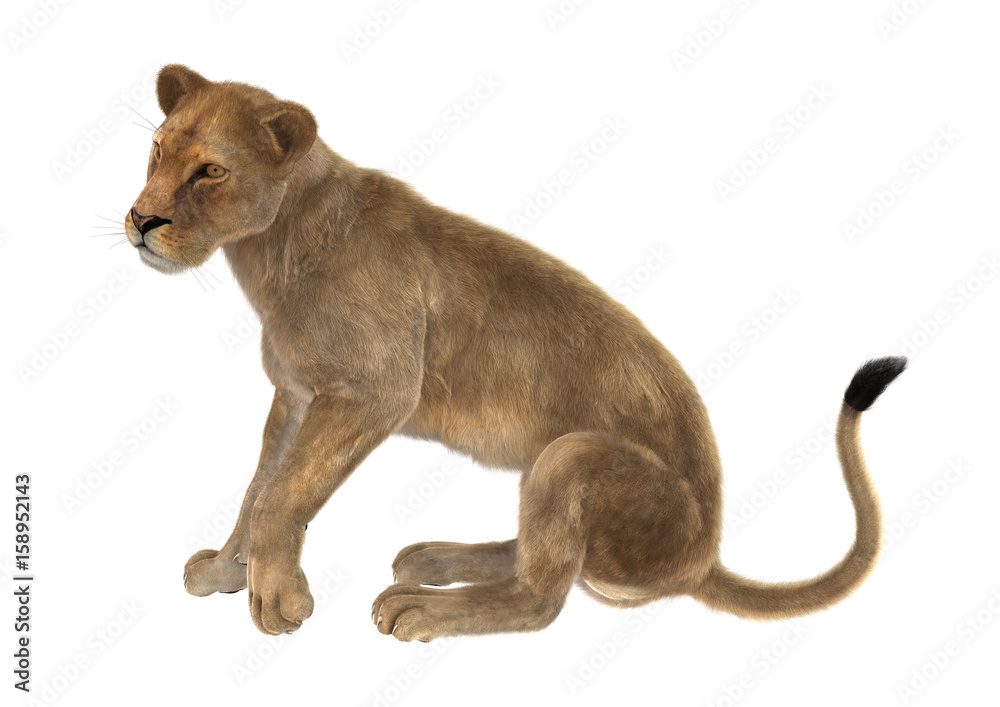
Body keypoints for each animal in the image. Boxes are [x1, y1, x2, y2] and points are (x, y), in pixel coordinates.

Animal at [124, 64, 905, 639]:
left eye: (210, 172)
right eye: (157, 151)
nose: (141, 220)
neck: (267, 249)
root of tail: (703, 557)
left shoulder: (371, 392)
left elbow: (285, 493)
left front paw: (277, 600)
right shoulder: (295, 394)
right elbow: (260, 485)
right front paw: (227, 570)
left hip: (573, 455)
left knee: (544, 596)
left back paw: (421, 603)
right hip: (548, 466)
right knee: (543, 556)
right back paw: (434, 560)